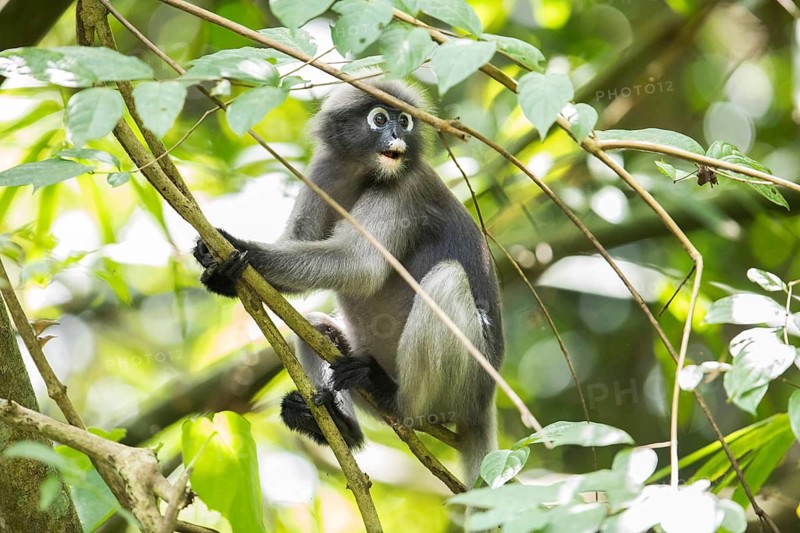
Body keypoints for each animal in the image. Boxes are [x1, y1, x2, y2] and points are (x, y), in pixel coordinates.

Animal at [192, 79, 504, 485]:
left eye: (404, 121)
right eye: (380, 119)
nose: (396, 135)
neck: (362, 171)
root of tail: (485, 403)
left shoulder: (404, 188)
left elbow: (361, 266)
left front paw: (238, 247)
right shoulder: (323, 172)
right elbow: (297, 243)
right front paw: (222, 273)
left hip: (466, 385)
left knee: (447, 279)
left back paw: (391, 396)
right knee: (315, 326)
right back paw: (340, 427)